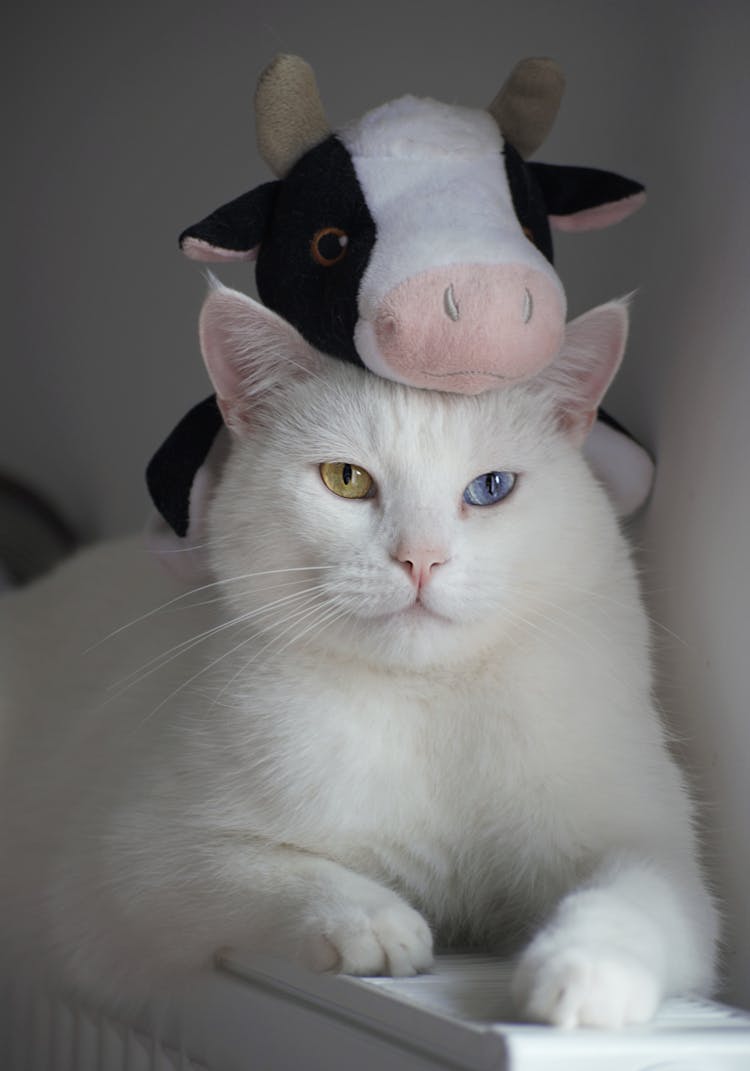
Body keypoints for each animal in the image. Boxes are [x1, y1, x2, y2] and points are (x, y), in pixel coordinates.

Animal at [0, 287, 715, 1028]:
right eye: (346, 479)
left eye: (491, 487)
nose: (421, 558)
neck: (428, 701)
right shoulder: (134, 860)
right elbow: (276, 868)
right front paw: (374, 924)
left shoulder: (648, 850)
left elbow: (626, 900)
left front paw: (582, 979)